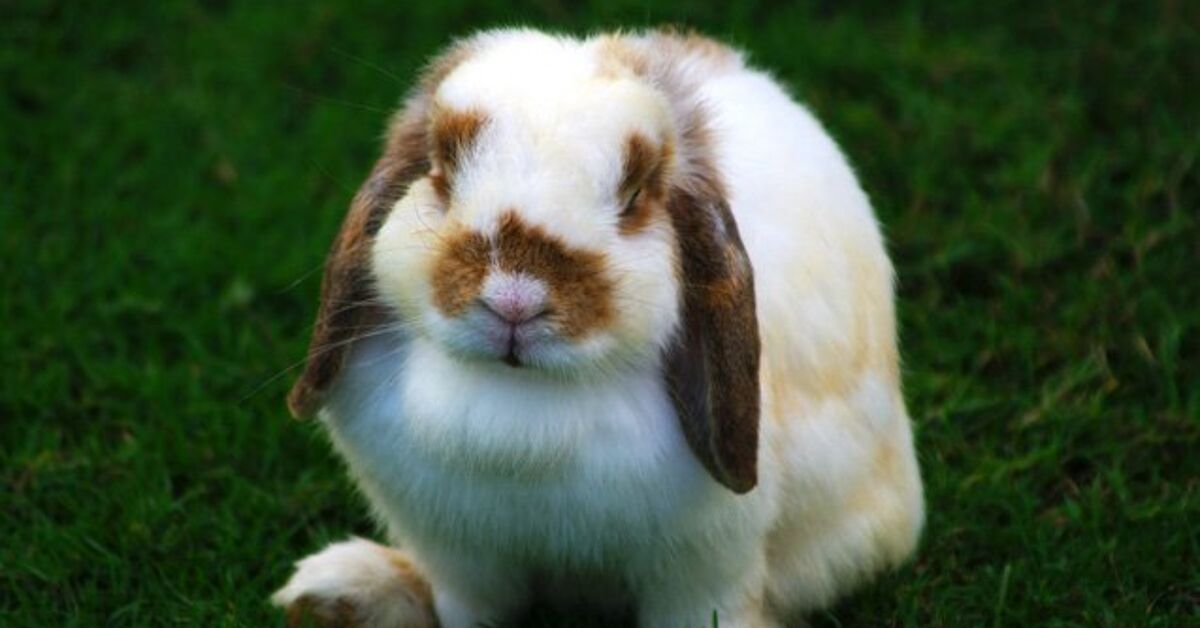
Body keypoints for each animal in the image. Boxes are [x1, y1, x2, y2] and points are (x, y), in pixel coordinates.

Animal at [272, 28, 924, 628]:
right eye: (441, 170)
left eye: (634, 196)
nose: (515, 300)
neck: (516, 417)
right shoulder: (462, 560)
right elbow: (467, 611)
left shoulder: (701, 571)